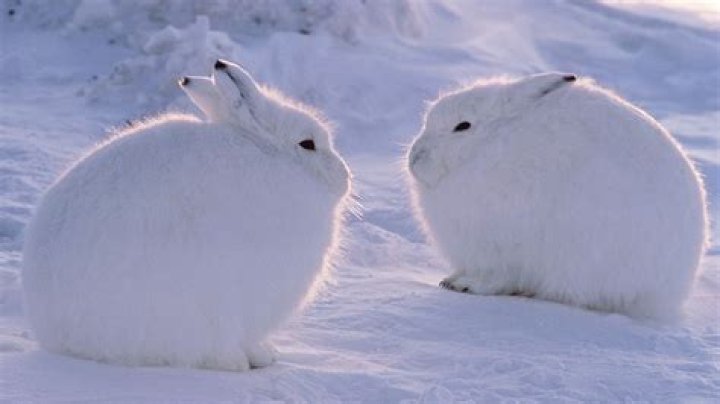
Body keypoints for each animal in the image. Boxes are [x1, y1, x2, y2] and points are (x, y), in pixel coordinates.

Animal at [407, 72, 708, 319]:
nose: (414, 159)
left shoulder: (504, 245)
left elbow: (498, 275)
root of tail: (670, 292)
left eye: (463, 126)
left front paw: (462, 284)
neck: (488, 146)